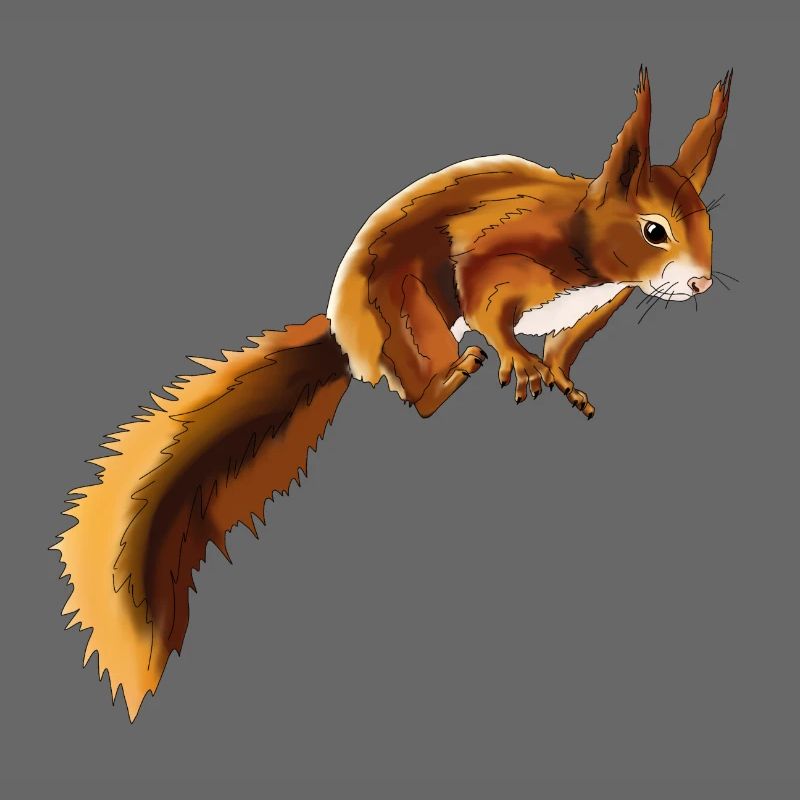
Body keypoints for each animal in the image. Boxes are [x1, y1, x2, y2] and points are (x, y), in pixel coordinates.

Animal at [53, 68, 731, 721]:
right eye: (653, 231)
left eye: (707, 223)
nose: (701, 283)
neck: (587, 247)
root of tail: (349, 340)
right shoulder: (504, 259)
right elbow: (485, 302)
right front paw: (519, 360)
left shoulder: (599, 306)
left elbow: (569, 346)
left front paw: (564, 378)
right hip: (413, 314)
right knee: (423, 394)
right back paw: (454, 376)